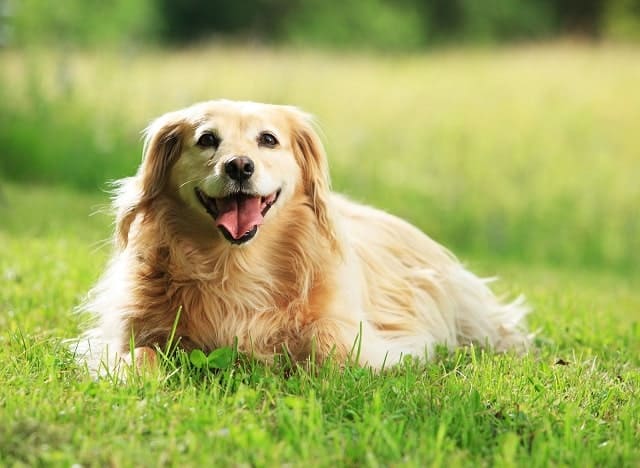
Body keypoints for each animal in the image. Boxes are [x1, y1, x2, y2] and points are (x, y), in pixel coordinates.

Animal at [76, 98, 528, 372]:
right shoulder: (129, 333)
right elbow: (140, 354)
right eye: (206, 139)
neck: (235, 264)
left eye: (268, 139)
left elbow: (331, 349)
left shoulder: (353, 336)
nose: (239, 166)